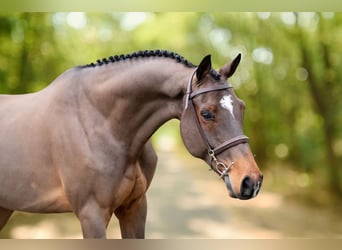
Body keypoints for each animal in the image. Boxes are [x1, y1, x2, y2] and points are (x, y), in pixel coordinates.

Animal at [0, 49, 264, 238]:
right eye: (207, 114)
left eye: (242, 107)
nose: (251, 181)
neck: (103, 125)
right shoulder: (92, 215)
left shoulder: (135, 208)